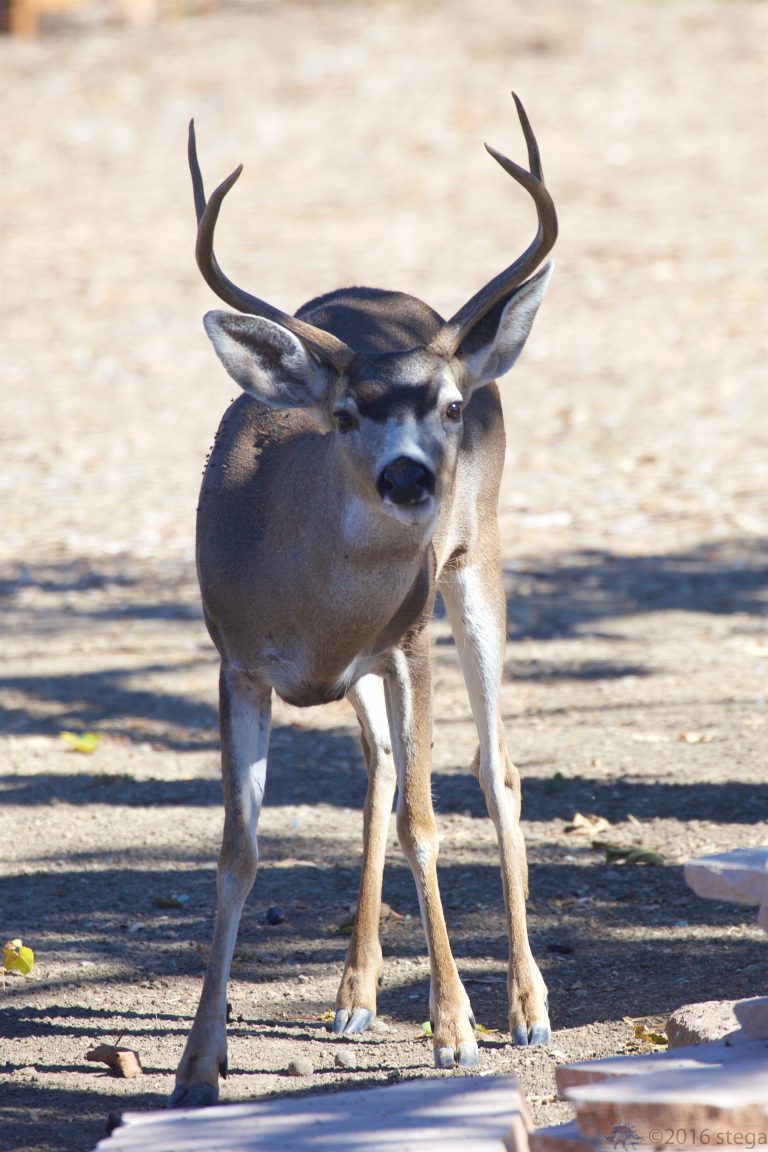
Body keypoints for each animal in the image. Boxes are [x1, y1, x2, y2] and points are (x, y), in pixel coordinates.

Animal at [170, 94, 557, 1109]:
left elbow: (427, 823)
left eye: (452, 406)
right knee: (382, 767)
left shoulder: (407, 638)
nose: (410, 477)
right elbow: (238, 852)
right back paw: (353, 995)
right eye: (345, 414)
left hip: (475, 564)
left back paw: (526, 1007)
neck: (309, 605)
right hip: (364, 671)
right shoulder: (237, 662)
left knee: (495, 765)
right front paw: (197, 1064)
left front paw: (454, 1031)